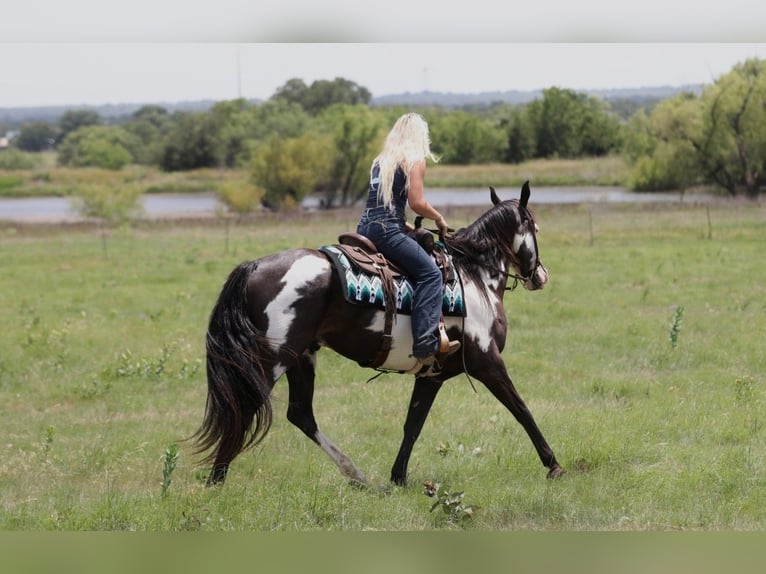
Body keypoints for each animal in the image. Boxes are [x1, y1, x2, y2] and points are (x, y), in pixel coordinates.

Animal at [192, 181, 564, 487]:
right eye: (534, 226)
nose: (540, 275)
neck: (474, 277)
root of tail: (254, 266)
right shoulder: (487, 361)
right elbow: (521, 409)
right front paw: (554, 465)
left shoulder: (432, 375)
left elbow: (413, 424)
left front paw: (398, 477)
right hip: (272, 361)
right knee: (245, 408)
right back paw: (216, 481)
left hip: (301, 358)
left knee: (300, 415)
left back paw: (355, 474)